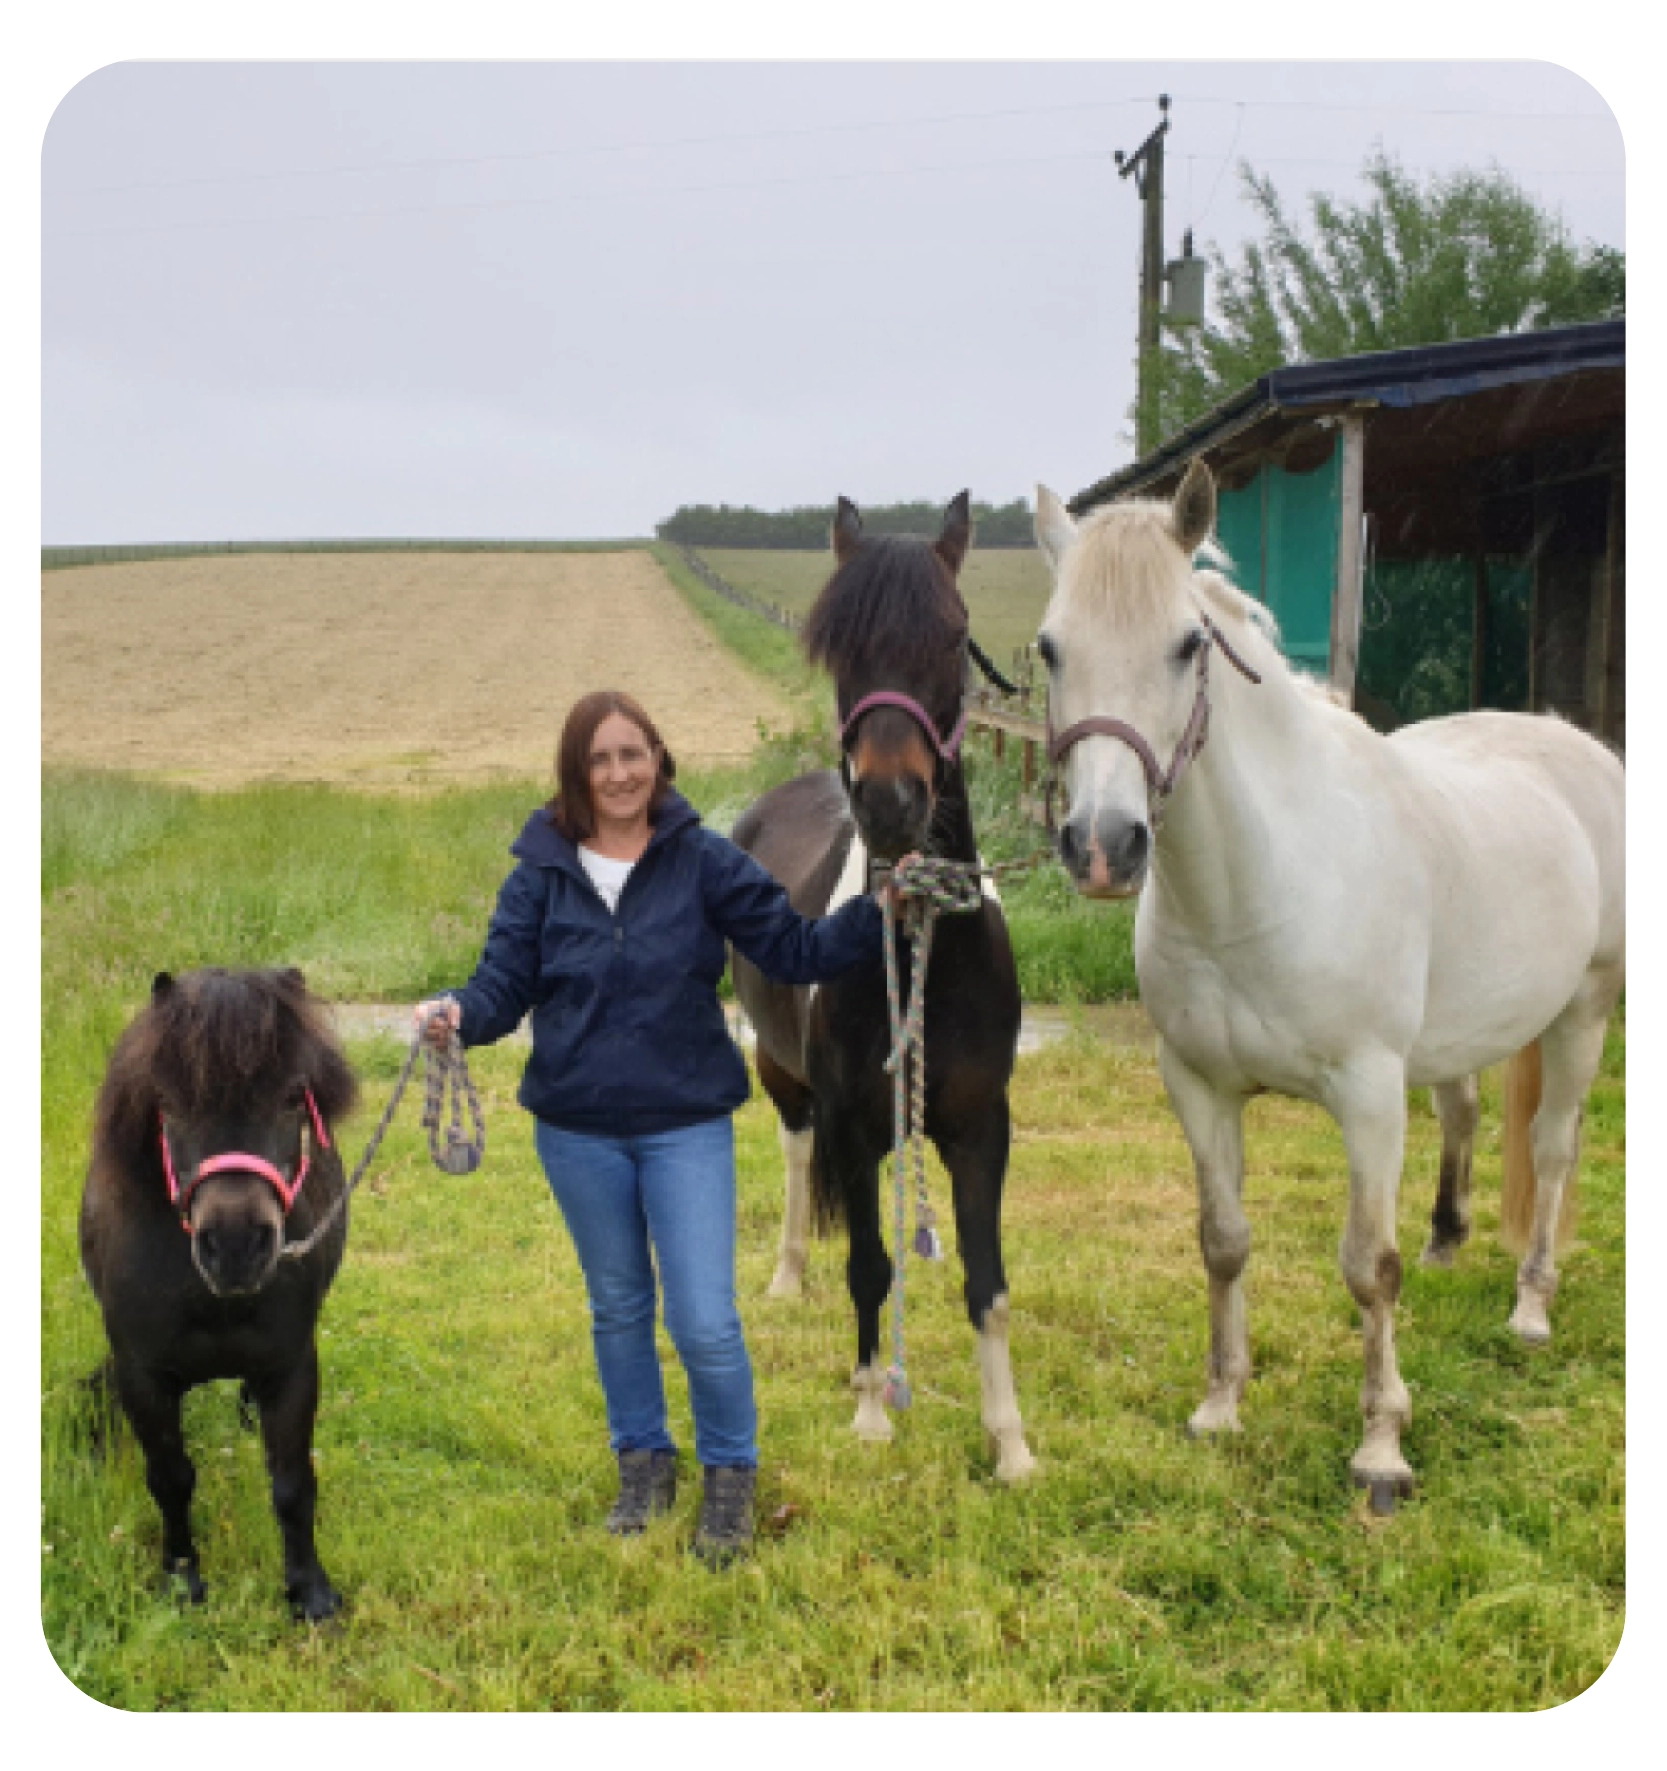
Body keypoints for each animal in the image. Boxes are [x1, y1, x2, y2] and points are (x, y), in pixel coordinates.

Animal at [81, 970, 357, 1622]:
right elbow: (170, 1478)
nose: (235, 1245)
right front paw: (182, 1582)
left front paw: (310, 1592)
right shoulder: (144, 1377)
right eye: (168, 1103)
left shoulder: (290, 1367)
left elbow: (292, 1482)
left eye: (293, 1096)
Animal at [733, 495, 1034, 1480]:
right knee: (795, 1157)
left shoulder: (979, 1124)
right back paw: (788, 1273)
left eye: (952, 634)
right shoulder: (852, 1121)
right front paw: (870, 1411)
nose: (890, 801)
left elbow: (987, 1283)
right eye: (837, 646)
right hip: (784, 1079)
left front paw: (1010, 1442)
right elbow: (868, 1264)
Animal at [1034, 464, 1622, 1515]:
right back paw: (1447, 1241)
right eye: (1050, 647)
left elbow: (1366, 1268)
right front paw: (1219, 1404)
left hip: (1582, 1014)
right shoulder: (1197, 1086)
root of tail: (1577, 747)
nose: (1103, 847)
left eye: (1188, 644)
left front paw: (1381, 1447)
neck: (1258, 883)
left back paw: (1529, 1306)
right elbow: (1222, 1239)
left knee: (1552, 1150)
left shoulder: (1367, 1096)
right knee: (1466, 1112)